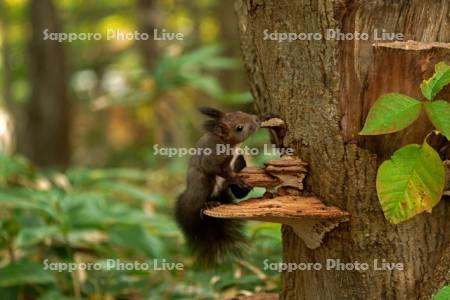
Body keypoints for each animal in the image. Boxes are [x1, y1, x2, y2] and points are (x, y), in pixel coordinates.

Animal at [175, 107, 262, 264]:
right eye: (239, 128)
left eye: (239, 111)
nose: (257, 118)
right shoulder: (213, 157)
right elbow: (214, 168)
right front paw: (237, 179)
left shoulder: (236, 157)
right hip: (203, 184)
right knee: (201, 203)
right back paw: (208, 204)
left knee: (236, 193)